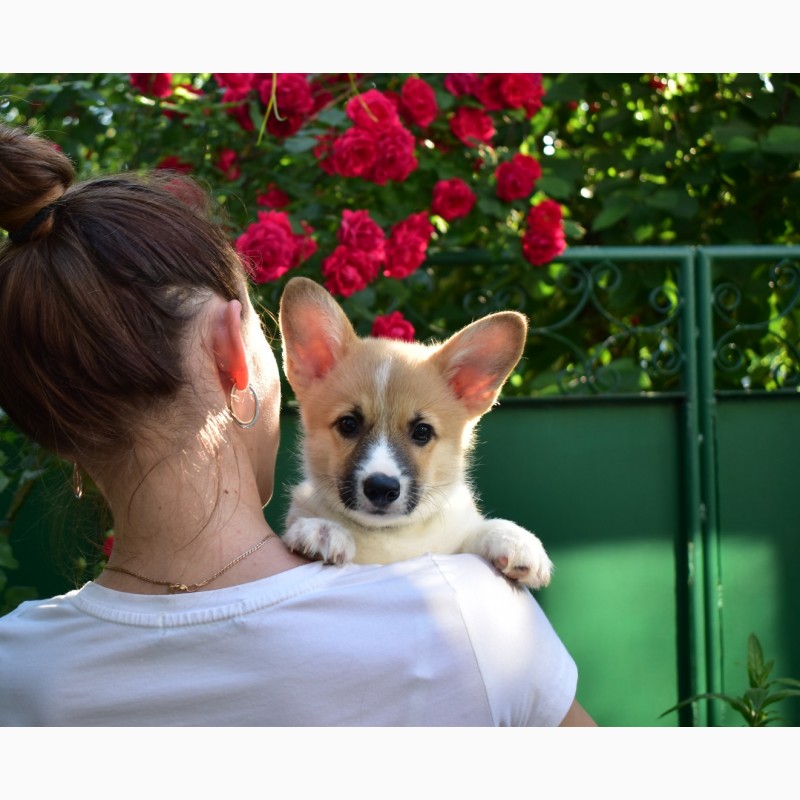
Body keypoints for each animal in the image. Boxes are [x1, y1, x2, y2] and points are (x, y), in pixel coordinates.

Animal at [278, 278, 552, 592]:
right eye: (348, 424)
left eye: (422, 431)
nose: (381, 488)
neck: (391, 536)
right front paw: (322, 529)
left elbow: (476, 530)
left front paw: (514, 539)